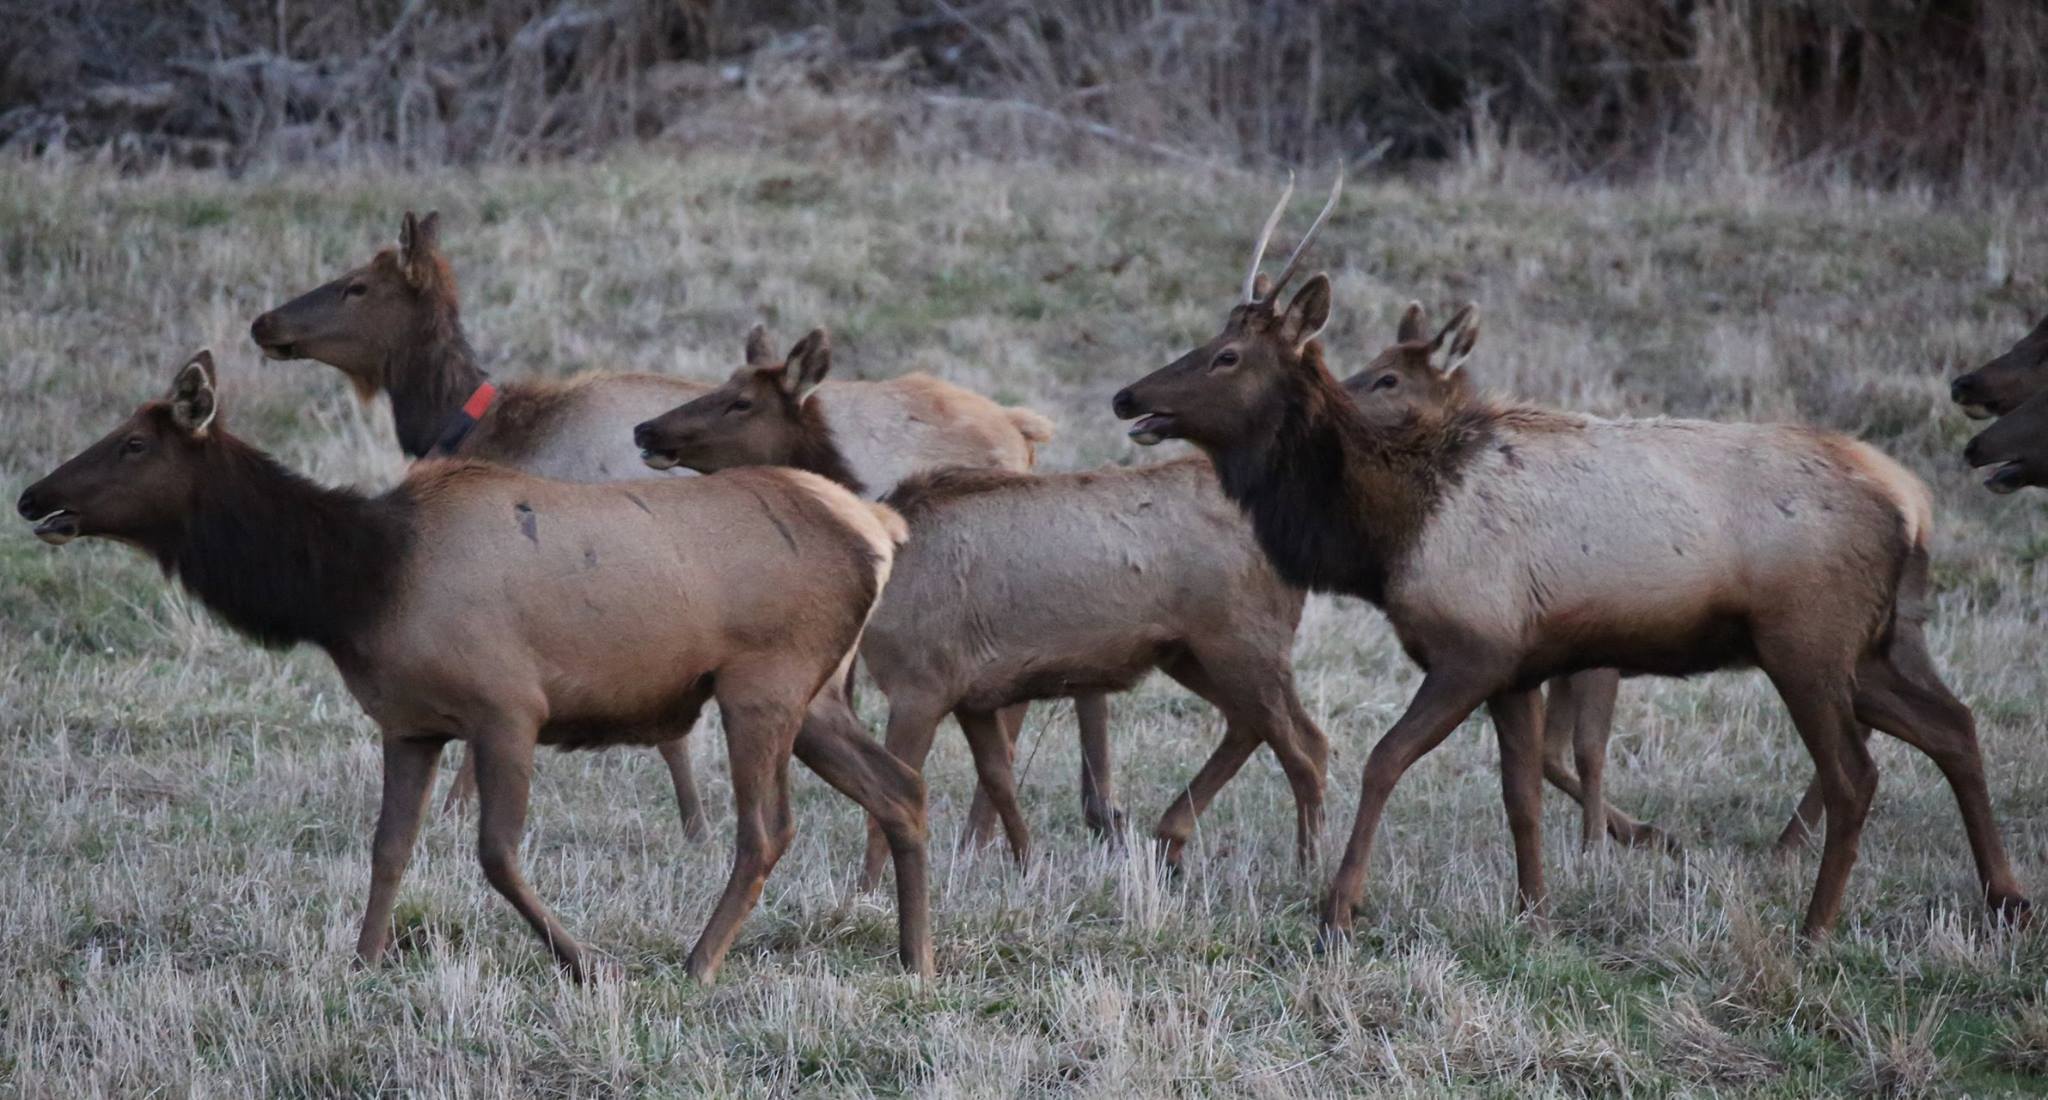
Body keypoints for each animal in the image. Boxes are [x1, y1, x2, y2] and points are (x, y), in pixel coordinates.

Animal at [1114, 178, 2023, 942]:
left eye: (1227, 357)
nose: (1129, 396)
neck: (1387, 537)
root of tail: (1912, 508)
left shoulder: (1473, 646)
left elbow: (1384, 760)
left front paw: (1340, 903)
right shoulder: (1519, 665)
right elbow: (1519, 797)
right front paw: (1534, 909)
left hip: (1807, 639)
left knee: (1855, 774)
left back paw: (1816, 925)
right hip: (1869, 644)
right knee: (1953, 725)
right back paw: (2004, 897)